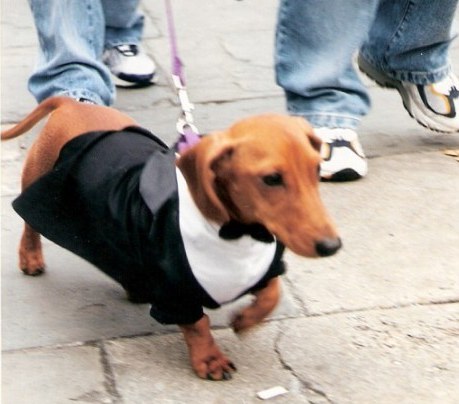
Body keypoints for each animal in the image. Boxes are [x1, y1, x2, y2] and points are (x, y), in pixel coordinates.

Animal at [1, 96, 342, 380]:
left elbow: (272, 293)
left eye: (316, 169)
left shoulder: (262, 268)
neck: (235, 232)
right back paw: (30, 258)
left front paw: (245, 320)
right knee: (30, 225)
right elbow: (198, 324)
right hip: (37, 178)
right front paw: (210, 359)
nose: (332, 246)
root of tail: (72, 103)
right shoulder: (177, 289)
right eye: (271, 179)